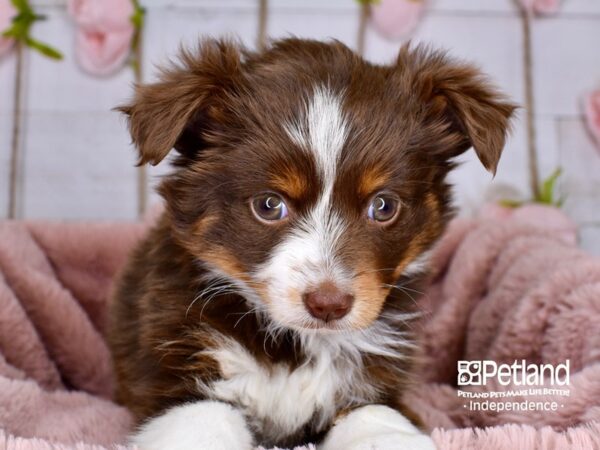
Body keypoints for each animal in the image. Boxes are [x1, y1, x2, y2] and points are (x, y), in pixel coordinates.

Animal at [109, 38, 516, 450]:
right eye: (269, 205)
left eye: (383, 206)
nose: (328, 305)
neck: (292, 344)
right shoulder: (175, 373)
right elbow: (202, 422)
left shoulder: (374, 384)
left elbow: (374, 415)